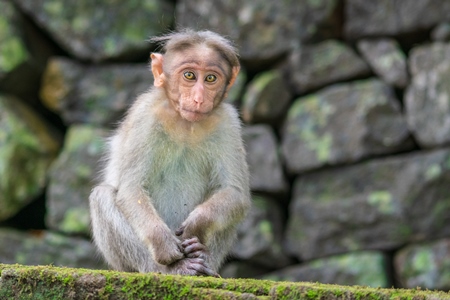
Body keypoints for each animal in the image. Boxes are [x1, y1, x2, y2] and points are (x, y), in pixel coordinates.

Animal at [88, 28, 250, 276]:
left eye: (210, 78)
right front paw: (165, 247)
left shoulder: (228, 121)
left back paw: (203, 260)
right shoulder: (144, 115)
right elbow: (131, 189)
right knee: (102, 195)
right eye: (189, 76)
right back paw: (171, 269)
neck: (185, 123)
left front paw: (196, 227)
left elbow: (234, 192)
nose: (199, 98)